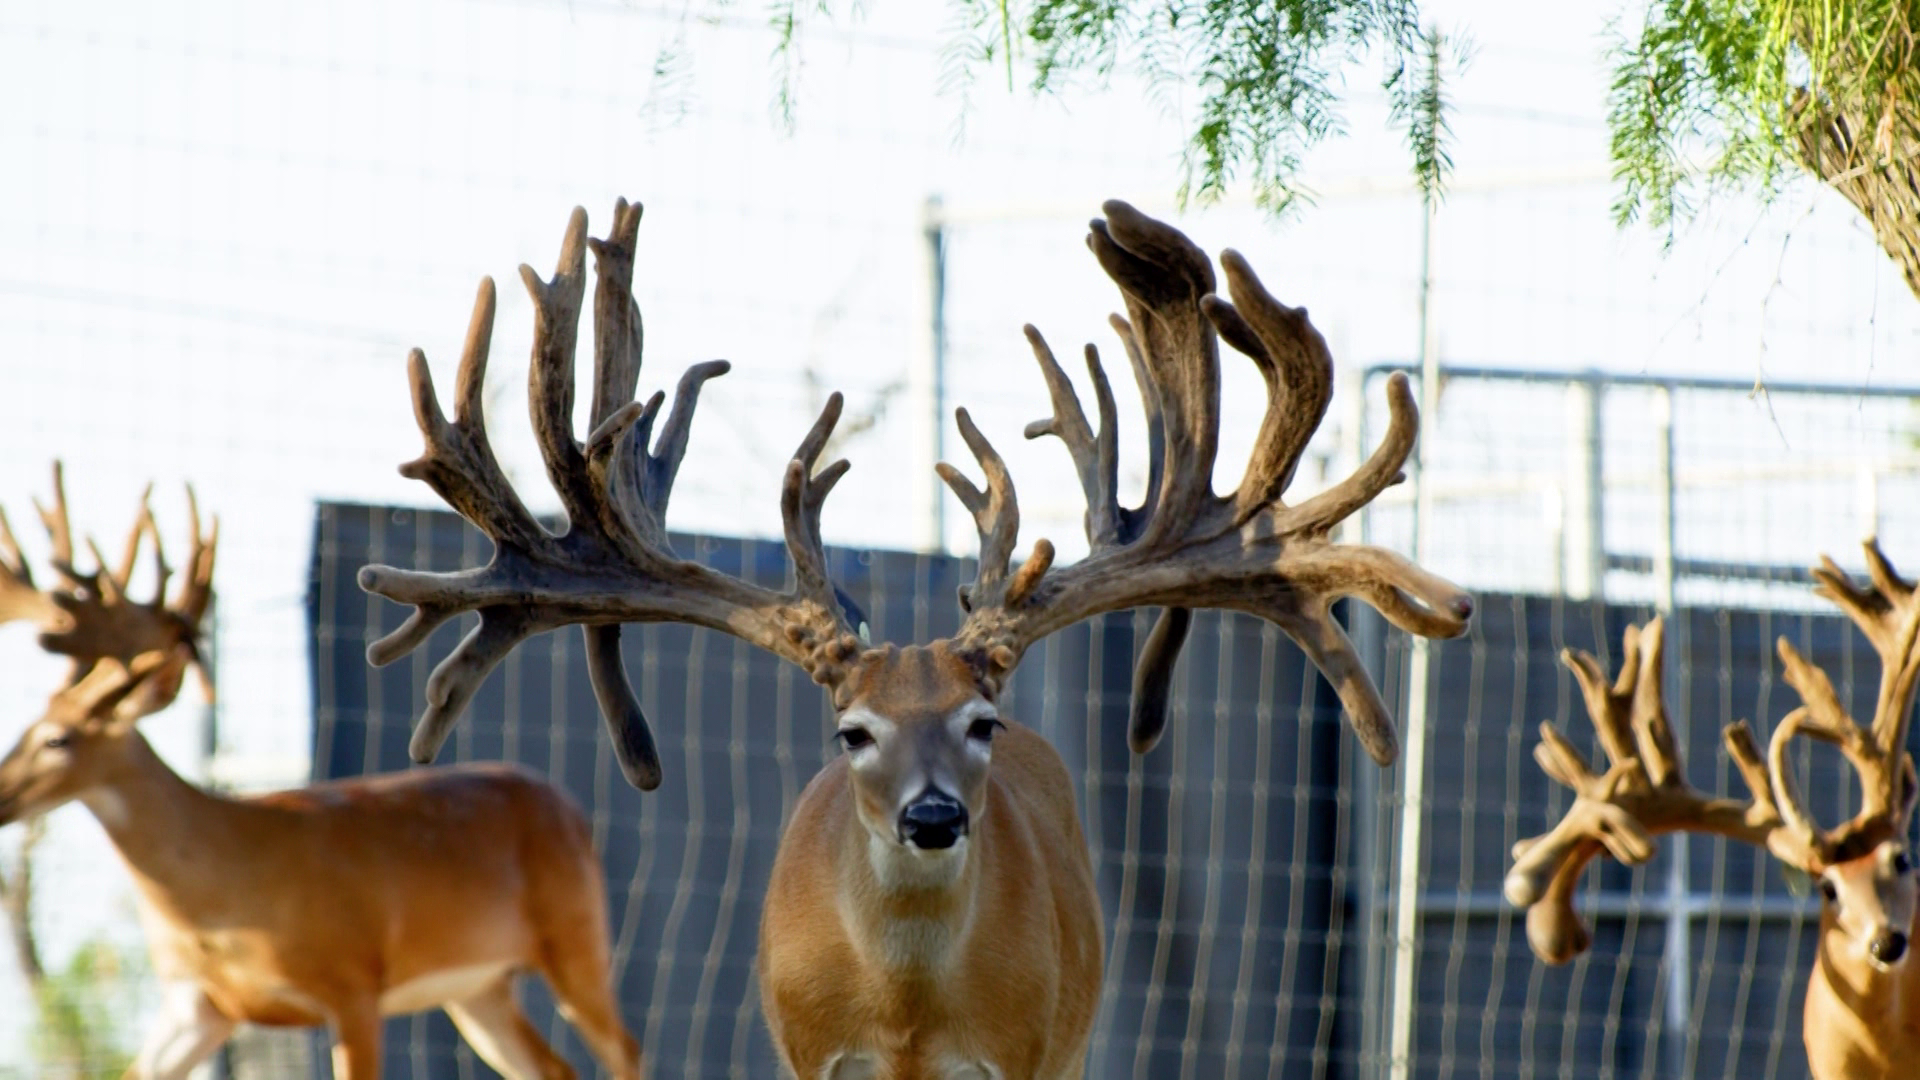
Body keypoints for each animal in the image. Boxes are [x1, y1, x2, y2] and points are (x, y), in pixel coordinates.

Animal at [0, 464, 641, 1080]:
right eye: (25, 727)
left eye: (58, 739)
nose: (3, 796)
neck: (221, 890)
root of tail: (569, 808)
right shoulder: (198, 1004)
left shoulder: (352, 981)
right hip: (479, 986)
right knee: (552, 1068)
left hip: (577, 938)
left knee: (624, 1053)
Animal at [357, 197, 1474, 1079]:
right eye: (851, 732)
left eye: (984, 721)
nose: (933, 816)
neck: (904, 1019)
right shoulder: (806, 1056)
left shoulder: (1024, 1057)